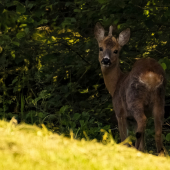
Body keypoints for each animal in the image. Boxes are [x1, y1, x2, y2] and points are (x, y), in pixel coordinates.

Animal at [93, 21, 165, 155]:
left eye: (116, 51)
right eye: (101, 48)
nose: (106, 60)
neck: (116, 84)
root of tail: (151, 76)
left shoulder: (120, 112)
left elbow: (124, 139)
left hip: (134, 99)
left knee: (142, 121)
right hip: (160, 100)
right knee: (158, 132)